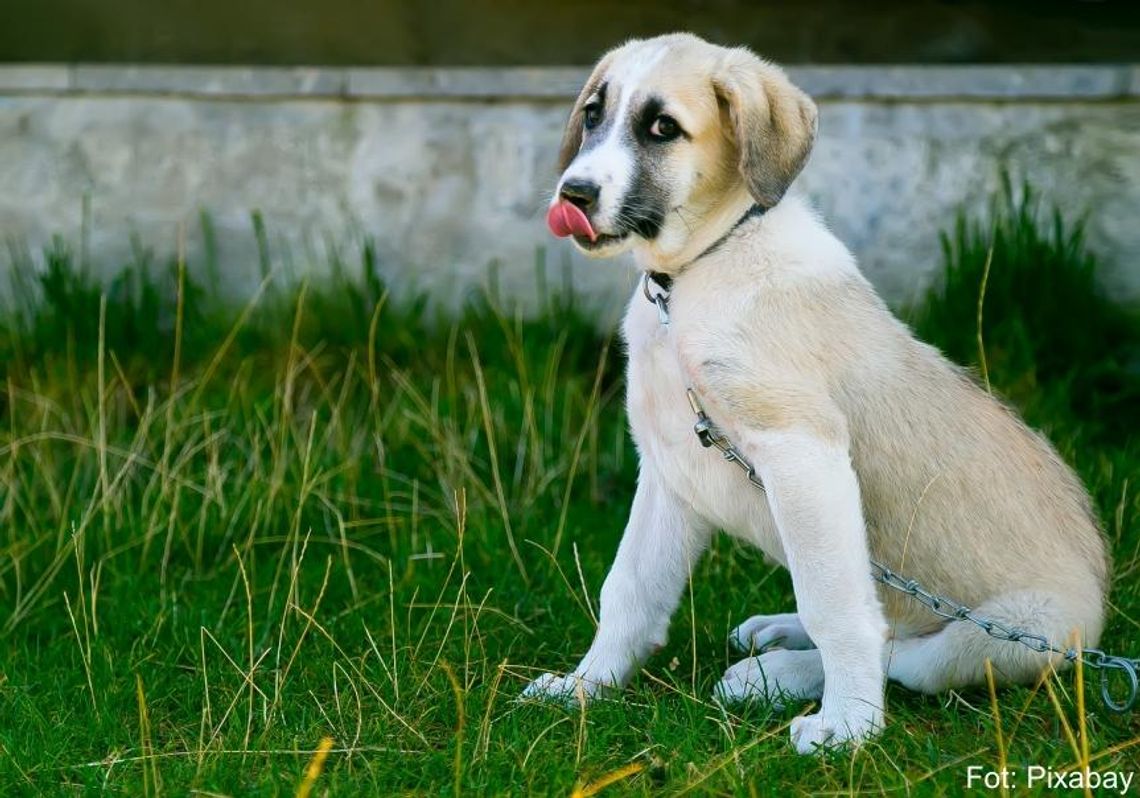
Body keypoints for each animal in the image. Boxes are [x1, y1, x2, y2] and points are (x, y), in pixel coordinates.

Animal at [522, 32, 1103, 752]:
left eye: (662, 129)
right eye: (594, 115)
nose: (572, 194)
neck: (696, 275)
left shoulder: (802, 453)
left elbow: (836, 607)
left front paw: (849, 724)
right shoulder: (670, 470)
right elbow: (629, 589)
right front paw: (586, 687)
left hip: (1015, 635)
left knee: (903, 649)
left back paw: (775, 676)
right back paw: (776, 633)